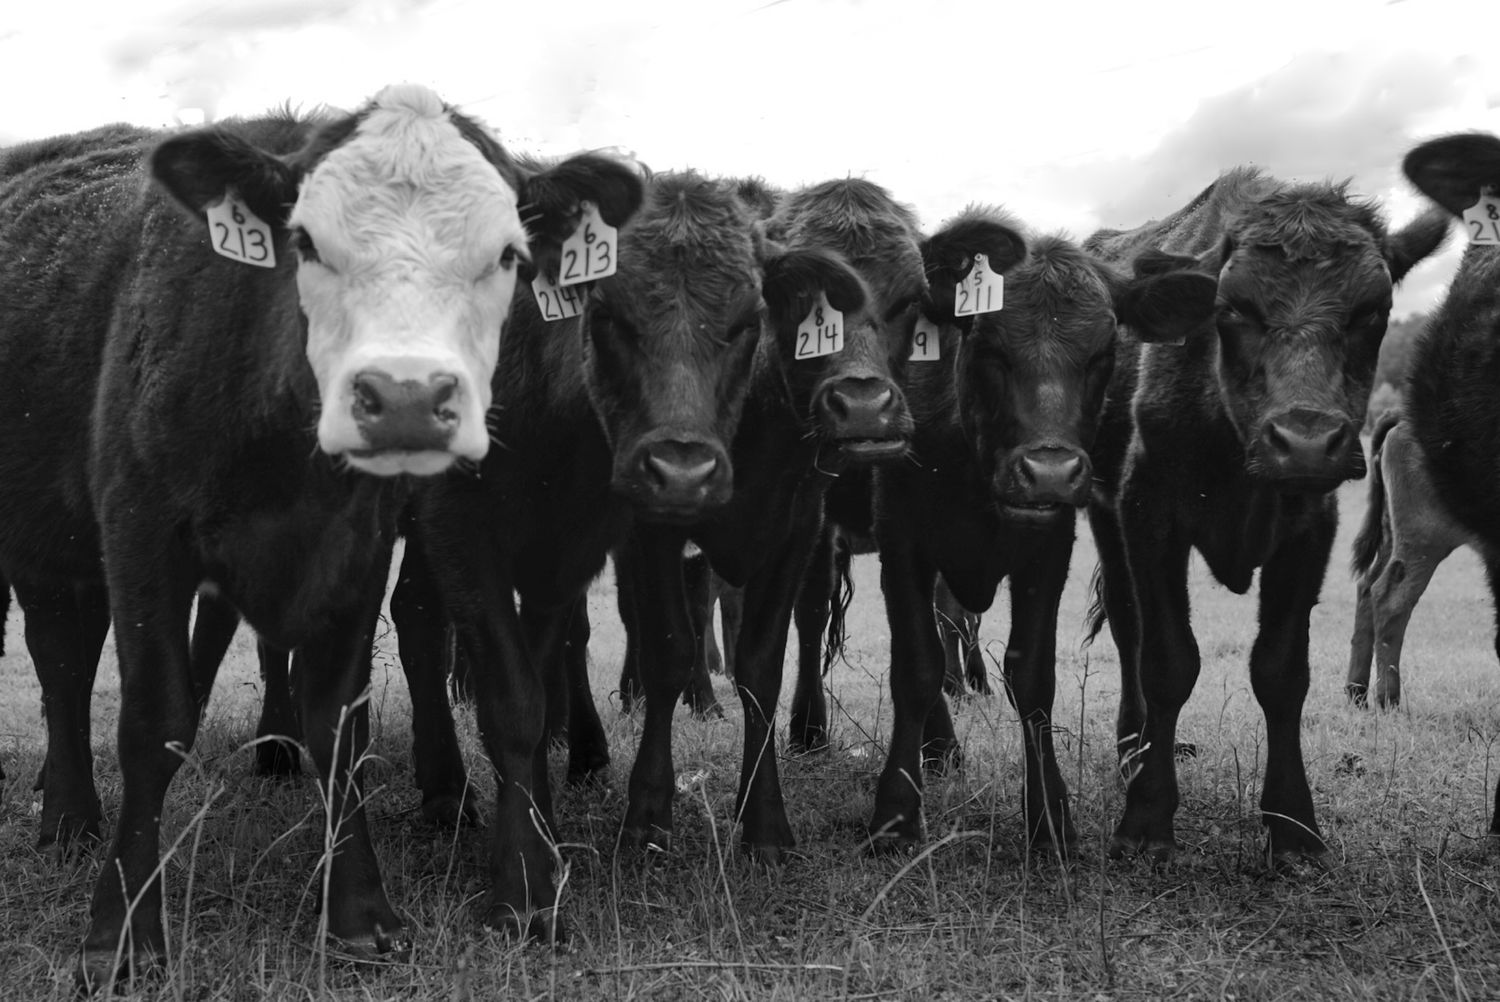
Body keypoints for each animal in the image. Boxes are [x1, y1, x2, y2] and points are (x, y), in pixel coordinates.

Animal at [0, 86, 643, 989]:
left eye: (509, 256)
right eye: (304, 242)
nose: (406, 397)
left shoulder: (356, 549)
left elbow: (338, 723)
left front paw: (360, 915)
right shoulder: (140, 535)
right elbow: (151, 721)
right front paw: (120, 931)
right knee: (62, 666)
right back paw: (67, 816)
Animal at [393, 169, 869, 937]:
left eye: (747, 323)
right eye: (610, 315)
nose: (681, 472)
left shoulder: (582, 548)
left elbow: (754, 670)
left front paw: (765, 830)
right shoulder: (463, 529)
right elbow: (523, 696)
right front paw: (527, 885)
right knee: (411, 623)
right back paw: (442, 795)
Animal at [870, 223, 1217, 850]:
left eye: (1104, 354)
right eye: (989, 348)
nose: (1050, 472)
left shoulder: (1047, 551)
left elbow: (1032, 677)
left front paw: (1050, 818)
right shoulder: (899, 540)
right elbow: (914, 668)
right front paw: (895, 812)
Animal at [1082, 167, 1449, 863]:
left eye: (1373, 311)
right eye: (1233, 309)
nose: (1305, 441)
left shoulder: (1309, 531)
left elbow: (1281, 672)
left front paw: (1292, 825)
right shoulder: (1148, 516)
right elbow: (1167, 660)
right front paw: (1146, 817)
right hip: (1104, 520)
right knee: (1125, 624)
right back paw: (1133, 749)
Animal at [1346, 407, 1491, 708]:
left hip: (1393, 537)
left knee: (1367, 587)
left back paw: (1357, 694)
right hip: (1423, 543)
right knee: (1390, 600)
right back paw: (1388, 700)